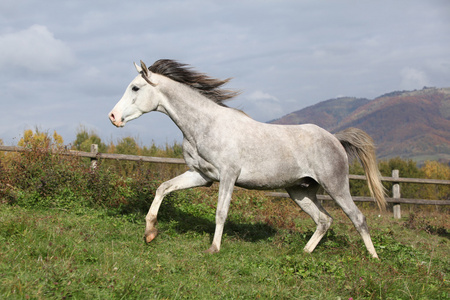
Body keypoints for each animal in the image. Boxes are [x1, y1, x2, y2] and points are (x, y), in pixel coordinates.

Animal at [109, 59, 386, 258]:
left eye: (135, 87)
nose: (113, 116)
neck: (205, 125)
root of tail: (335, 139)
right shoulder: (201, 176)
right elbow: (163, 188)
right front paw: (150, 232)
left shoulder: (228, 175)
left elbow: (221, 212)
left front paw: (214, 249)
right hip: (300, 191)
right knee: (324, 220)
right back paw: (304, 252)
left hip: (336, 186)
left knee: (358, 218)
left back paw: (373, 259)